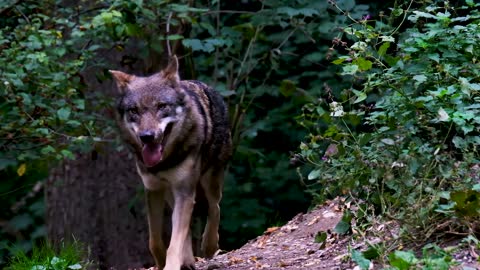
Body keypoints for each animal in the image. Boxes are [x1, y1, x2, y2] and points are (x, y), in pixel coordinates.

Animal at [111, 55, 234, 270]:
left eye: (162, 106)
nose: (147, 136)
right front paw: (162, 262)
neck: (164, 162)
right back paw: (189, 261)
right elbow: (155, 240)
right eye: (134, 110)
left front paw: (172, 264)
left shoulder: (184, 191)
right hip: (173, 194)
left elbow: (174, 243)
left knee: (214, 208)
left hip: (208, 181)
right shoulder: (153, 189)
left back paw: (209, 246)